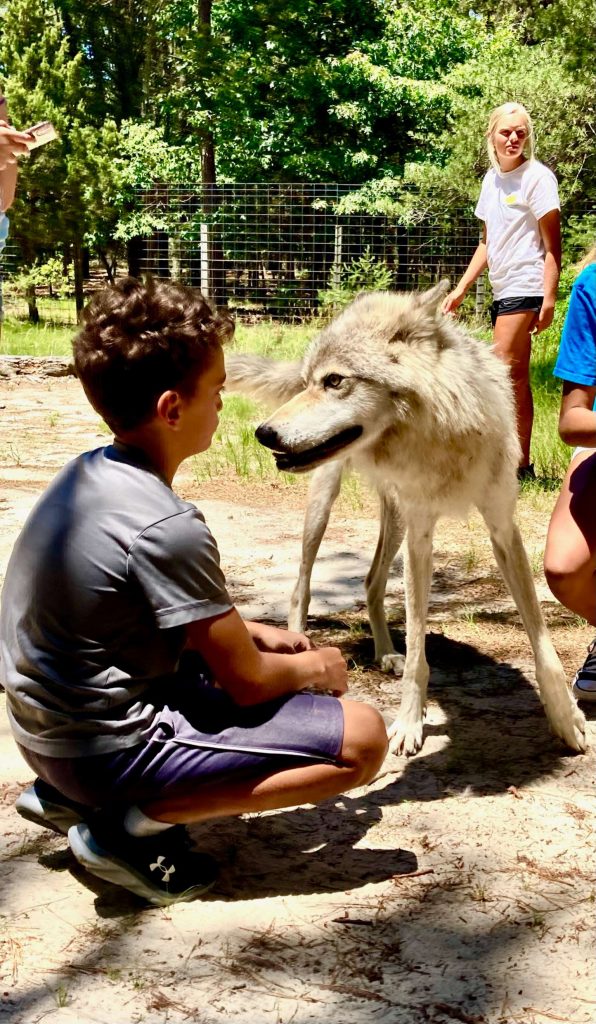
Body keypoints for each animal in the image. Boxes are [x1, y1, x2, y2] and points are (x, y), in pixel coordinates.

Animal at [227, 284, 589, 757]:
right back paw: (302, 650)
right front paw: (408, 723)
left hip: (394, 521)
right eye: (309, 382)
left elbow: (541, 640)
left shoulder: (502, 527)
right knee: (300, 588)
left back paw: (384, 654)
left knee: (371, 582)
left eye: (334, 381)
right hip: (324, 507)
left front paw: (566, 719)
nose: (264, 433)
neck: (440, 437)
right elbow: (419, 649)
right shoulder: (421, 534)